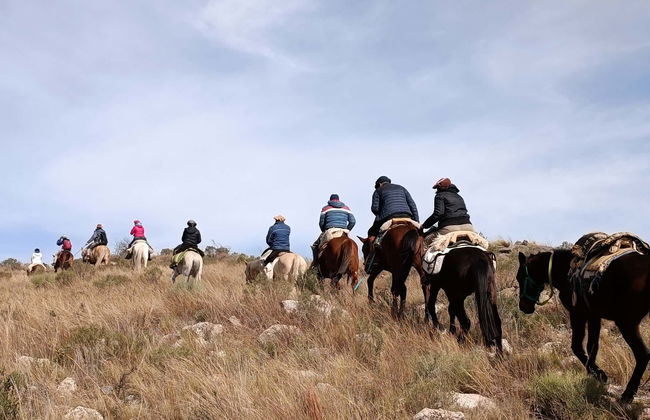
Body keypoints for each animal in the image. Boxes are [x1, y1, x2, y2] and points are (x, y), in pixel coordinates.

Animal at [516, 249, 650, 402]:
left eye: (519, 277)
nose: (523, 307)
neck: (565, 270)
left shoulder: (577, 314)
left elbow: (577, 347)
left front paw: (598, 373)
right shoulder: (594, 316)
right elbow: (592, 346)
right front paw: (596, 372)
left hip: (626, 323)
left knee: (643, 354)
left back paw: (628, 394)